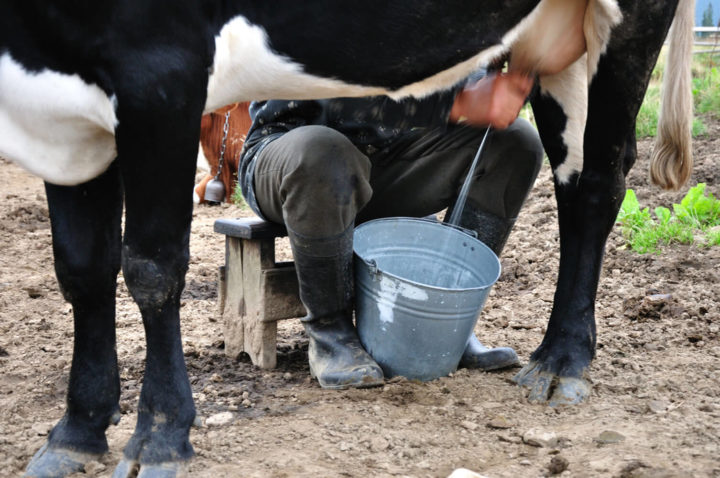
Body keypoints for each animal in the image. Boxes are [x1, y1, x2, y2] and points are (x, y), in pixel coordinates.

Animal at [0, 0, 696, 476]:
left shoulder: (160, 74)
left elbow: (150, 267)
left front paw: (160, 437)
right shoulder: (61, 114)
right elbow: (82, 269)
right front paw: (76, 432)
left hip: (626, 22)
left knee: (599, 181)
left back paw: (562, 361)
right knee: (561, 174)